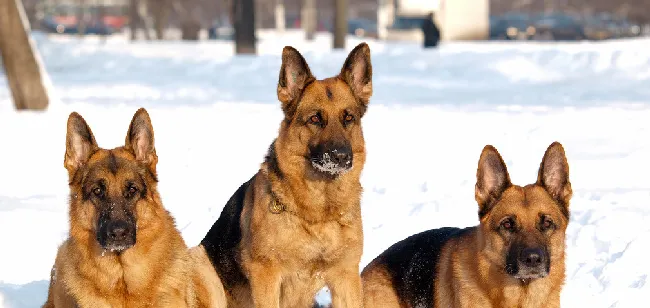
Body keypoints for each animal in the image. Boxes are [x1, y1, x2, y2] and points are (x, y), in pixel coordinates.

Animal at [200, 42, 372, 306]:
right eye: (315, 119)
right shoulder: (266, 276)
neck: (318, 213)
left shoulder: (346, 278)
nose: (342, 157)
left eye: (348, 118)